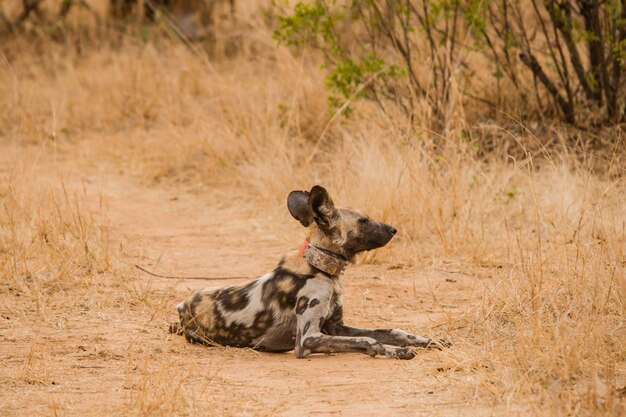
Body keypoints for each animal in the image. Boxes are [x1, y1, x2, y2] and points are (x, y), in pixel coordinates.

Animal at [167, 185, 448, 358]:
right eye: (363, 220)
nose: (393, 229)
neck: (321, 268)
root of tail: (182, 305)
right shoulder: (308, 338)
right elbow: (370, 341)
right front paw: (396, 352)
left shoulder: (336, 327)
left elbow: (391, 331)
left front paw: (429, 341)